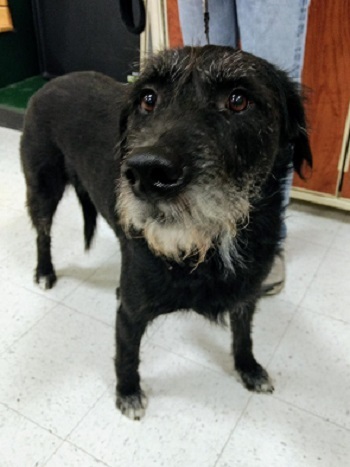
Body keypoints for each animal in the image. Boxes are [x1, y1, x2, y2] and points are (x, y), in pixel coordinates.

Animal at [20, 46, 312, 420]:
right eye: (148, 98)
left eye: (238, 100)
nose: (147, 173)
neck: (208, 247)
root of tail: (52, 81)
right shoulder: (130, 314)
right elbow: (126, 355)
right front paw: (128, 393)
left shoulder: (246, 294)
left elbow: (243, 335)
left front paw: (248, 368)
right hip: (42, 188)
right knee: (42, 234)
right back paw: (45, 271)